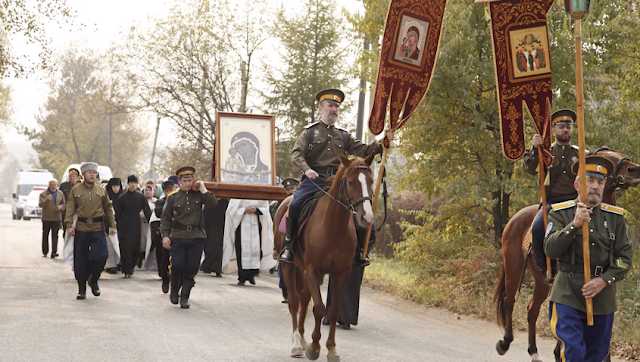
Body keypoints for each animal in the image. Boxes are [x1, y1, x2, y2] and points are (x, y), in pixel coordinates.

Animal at [274, 151, 376, 360]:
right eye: (351, 182)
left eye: (371, 181)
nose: (366, 217)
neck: (334, 226)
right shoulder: (314, 270)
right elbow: (319, 308)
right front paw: (314, 347)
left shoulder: (342, 273)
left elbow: (334, 310)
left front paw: (331, 348)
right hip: (289, 266)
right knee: (294, 301)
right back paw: (296, 343)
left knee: (304, 298)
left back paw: (302, 339)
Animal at [496, 148, 640, 362]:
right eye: (607, 157)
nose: (634, 170)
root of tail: (514, 219)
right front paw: (559, 352)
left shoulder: (606, 288)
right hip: (514, 269)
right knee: (509, 300)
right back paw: (505, 341)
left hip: (541, 282)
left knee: (531, 309)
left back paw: (533, 350)